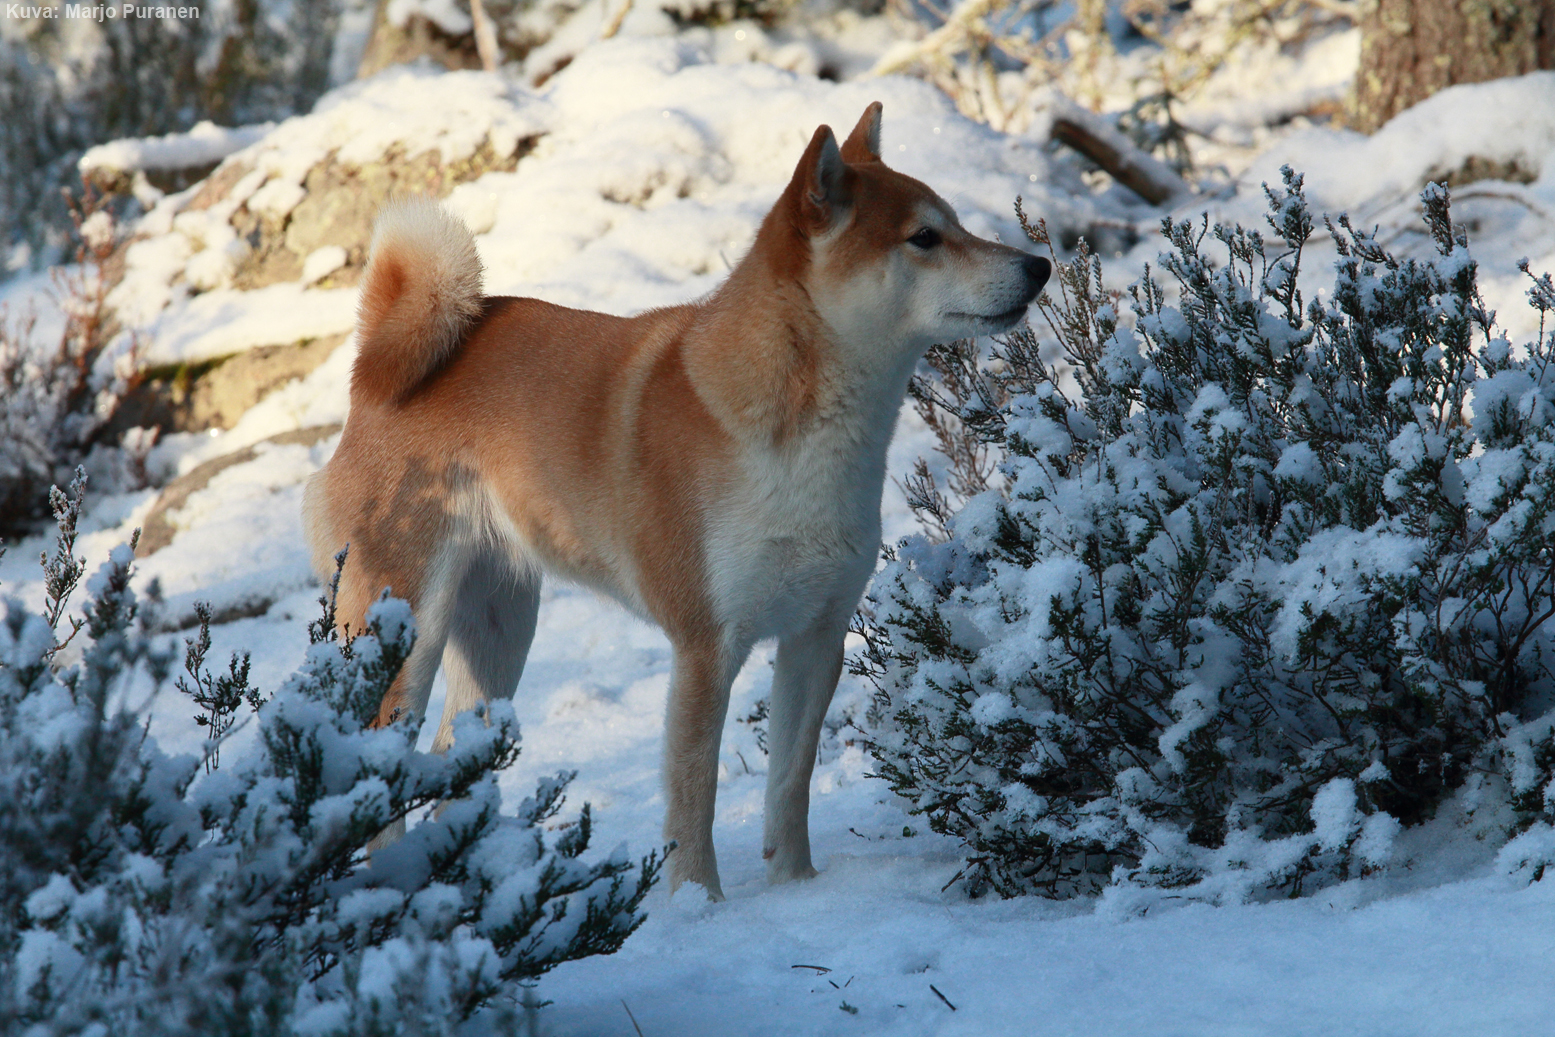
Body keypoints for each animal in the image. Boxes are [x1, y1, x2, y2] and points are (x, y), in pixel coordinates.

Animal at [304, 105, 1051, 901]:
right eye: (924, 237)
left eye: (955, 224)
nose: (1039, 266)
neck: (804, 437)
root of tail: (371, 374)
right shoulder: (704, 648)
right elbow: (694, 800)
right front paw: (699, 904)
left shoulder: (815, 636)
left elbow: (789, 784)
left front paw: (795, 889)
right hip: (407, 631)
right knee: (382, 758)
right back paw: (395, 881)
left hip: (499, 632)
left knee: (453, 759)